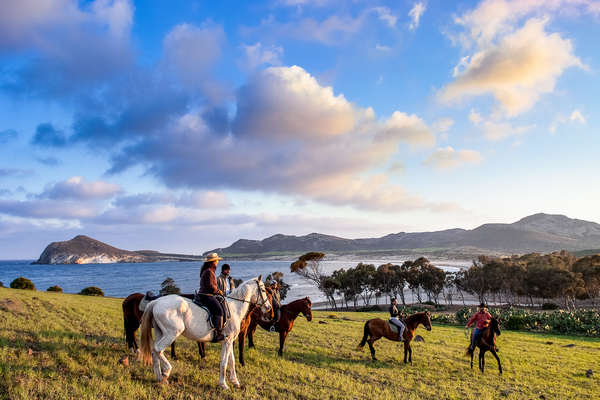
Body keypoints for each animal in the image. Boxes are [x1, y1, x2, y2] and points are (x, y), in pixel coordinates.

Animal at [139, 276, 270, 390]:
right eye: (263, 290)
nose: (268, 307)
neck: (234, 308)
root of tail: (155, 302)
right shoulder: (227, 341)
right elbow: (224, 363)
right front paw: (223, 385)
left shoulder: (228, 341)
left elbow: (231, 361)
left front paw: (235, 382)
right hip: (172, 333)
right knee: (157, 349)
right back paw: (166, 372)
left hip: (160, 333)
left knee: (154, 351)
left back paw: (159, 378)